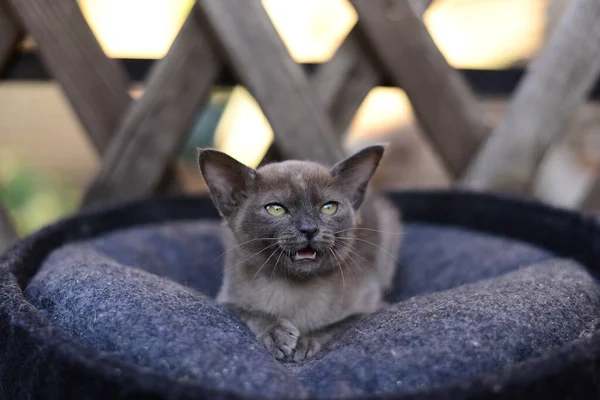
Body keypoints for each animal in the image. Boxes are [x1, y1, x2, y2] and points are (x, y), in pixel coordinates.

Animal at [198, 145, 404, 360]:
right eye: (276, 209)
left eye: (329, 207)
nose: (309, 229)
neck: (295, 289)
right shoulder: (227, 301)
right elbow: (252, 313)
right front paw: (278, 335)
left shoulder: (371, 308)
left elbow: (333, 326)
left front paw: (304, 342)